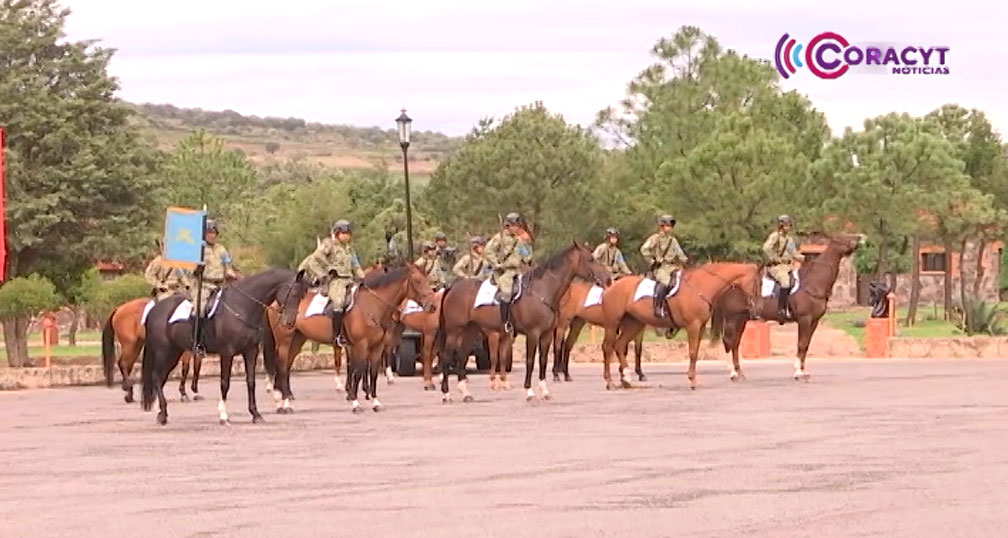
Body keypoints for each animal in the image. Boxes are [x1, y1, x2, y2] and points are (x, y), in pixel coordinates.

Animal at [140, 267, 306, 425]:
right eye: (293, 293)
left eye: (302, 296)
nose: (290, 323)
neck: (242, 306)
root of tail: (155, 309)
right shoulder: (227, 353)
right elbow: (225, 383)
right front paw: (223, 415)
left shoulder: (251, 351)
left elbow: (251, 382)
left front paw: (255, 414)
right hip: (163, 351)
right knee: (156, 377)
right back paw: (162, 413)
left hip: (174, 353)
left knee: (160, 378)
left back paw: (161, 413)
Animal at [260, 263, 393, 411]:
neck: (366, 304)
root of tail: (272, 304)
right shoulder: (357, 344)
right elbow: (354, 366)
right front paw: (354, 394)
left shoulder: (359, 345)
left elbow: (356, 366)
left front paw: (358, 392)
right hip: (284, 341)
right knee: (281, 365)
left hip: (296, 341)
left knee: (287, 364)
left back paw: (286, 394)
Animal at [433, 244, 604, 405]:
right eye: (590, 259)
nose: (606, 278)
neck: (541, 291)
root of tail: (453, 287)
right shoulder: (533, 334)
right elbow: (530, 361)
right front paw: (530, 393)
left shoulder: (547, 334)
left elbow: (542, 360)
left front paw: (545, 391)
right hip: (454, 331)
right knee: (447, 357)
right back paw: (446, 394)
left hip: (470, 331)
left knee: (462, 356)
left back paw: (466, 393)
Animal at [592, 263, 758, 390]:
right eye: (757, 282)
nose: (754, 309)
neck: (701, 285)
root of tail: (611, 286)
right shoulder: (693, 326)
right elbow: (692, 353)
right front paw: (692, 380)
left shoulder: (701, 327)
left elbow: (696, 351)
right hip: (612, 324)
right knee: (608, 347)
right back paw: (610, 382)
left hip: (635, 324)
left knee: (619, 345)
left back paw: (626, 378)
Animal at [705, 233, 862, 380]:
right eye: (841, 238)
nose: (857, 240)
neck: (812, 283)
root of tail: (727, 286)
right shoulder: (804, 320)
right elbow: (801, 344)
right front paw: (798, 372)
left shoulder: (814, 322)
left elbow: (806, 345)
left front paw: (803, 371)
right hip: (732, 320)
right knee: (728, 342)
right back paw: (732, 373)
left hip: (741, 320)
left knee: (735, 344)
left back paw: (739, 372)